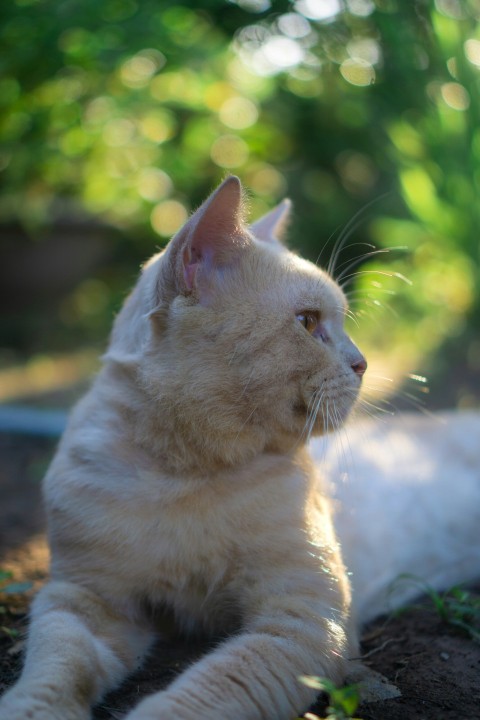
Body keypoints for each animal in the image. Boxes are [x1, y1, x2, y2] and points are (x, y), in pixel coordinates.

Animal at [0, 176, 478, 720]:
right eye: (308, 322)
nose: (362, 363)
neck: (183, 476)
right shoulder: (85, 601)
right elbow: (55, 668)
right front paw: (30, 709)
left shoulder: (302, 619)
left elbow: (207, 690)